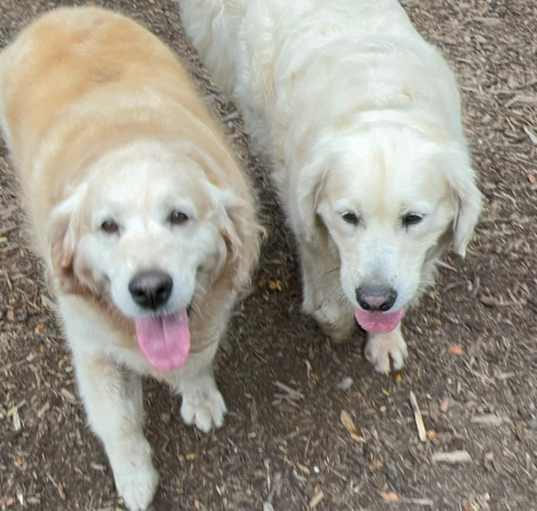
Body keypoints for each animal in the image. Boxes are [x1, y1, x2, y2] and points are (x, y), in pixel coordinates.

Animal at [0, 6, 260, 510]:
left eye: (179, 216)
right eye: (107, 226)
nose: (150, 289)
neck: (130, 138)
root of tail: (63, 12)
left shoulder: (211, 313)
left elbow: (196, 362)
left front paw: (199, 398)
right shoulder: (90, 348)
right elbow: (117, 421)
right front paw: (136, 477)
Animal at [181, 0, 482, 374]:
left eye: (413, 218)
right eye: (348, 217)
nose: (375, 299)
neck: (380, 105)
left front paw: (385, 339)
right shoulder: (309, 222)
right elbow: (329, 289)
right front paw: (333, 319)